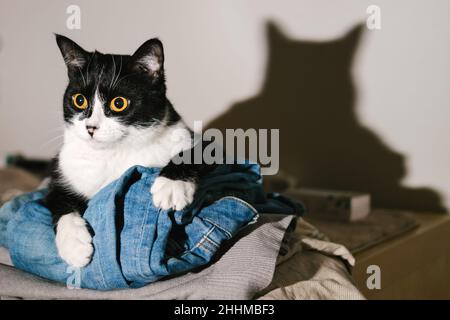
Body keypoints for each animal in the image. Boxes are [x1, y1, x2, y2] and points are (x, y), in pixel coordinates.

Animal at [45, 35, 214, 268]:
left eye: (119, 103)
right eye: (79, 100)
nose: (91, 127)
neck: (114, 153)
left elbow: (198, 153)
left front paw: (171, 187)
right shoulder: (62, 171)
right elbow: (57, 201)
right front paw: (74, 246)